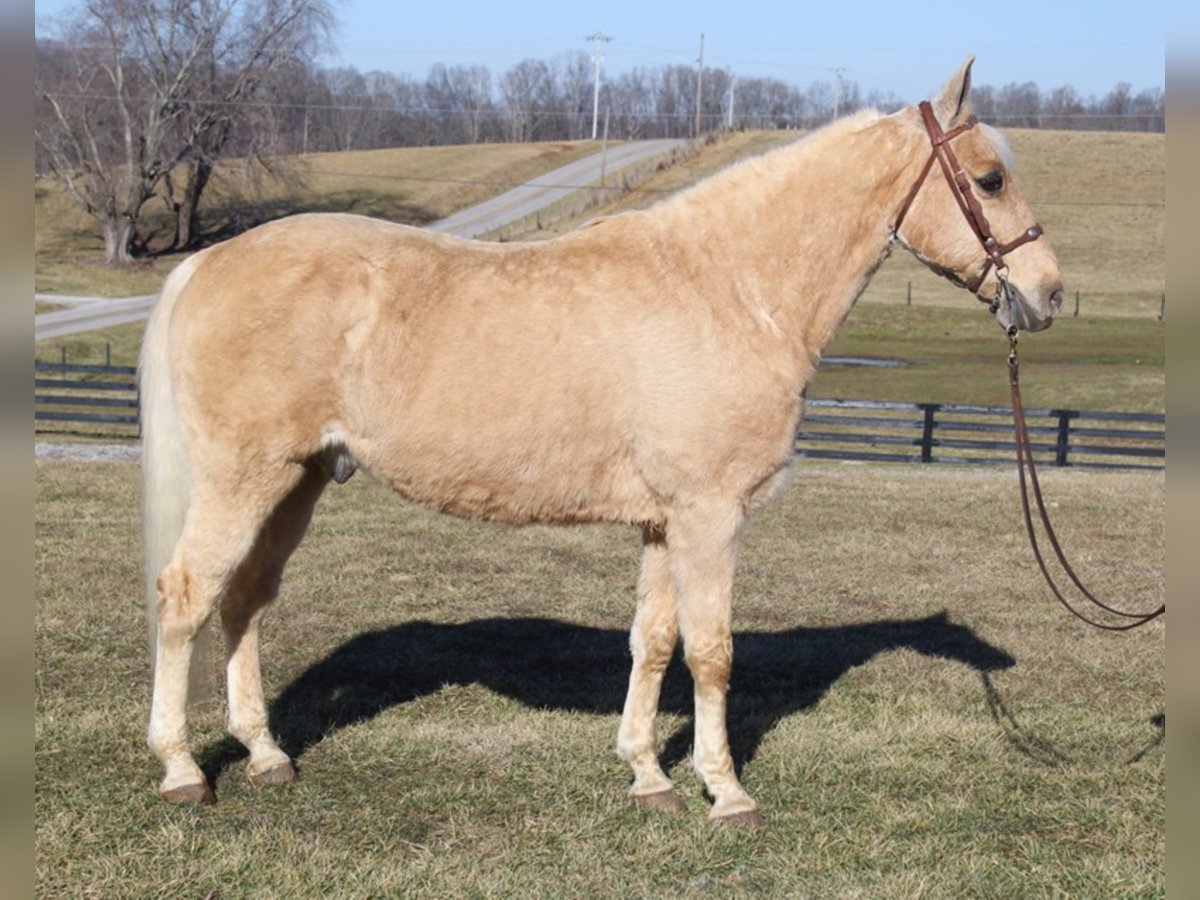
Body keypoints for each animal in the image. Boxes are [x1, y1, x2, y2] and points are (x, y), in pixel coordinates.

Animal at [142, 56, 1070, 830]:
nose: (1051, 294)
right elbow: (712, 652)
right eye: (988, 179)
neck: (730, 289)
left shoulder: (664, 523)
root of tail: (207, 262)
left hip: (295, 480)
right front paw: (726, 792)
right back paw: (182, 769)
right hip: (243, 479)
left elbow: (654, 642)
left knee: (244, 600)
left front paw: (648, 776)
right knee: (187, 596)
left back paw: (266, 755)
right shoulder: (709, 516)